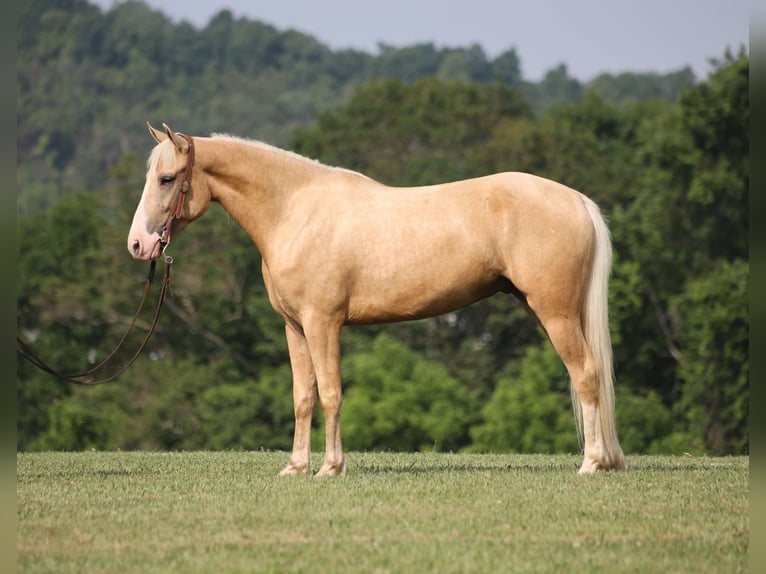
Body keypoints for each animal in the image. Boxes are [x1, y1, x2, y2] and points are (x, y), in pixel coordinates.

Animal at [128, 122, 626, 476]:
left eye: (168, 178)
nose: (138, 244)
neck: (295, 212)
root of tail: (576, 200)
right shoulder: (295, 327)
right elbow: (303, 397)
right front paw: (295, 467)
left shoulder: (323, 322)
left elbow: (330, 393)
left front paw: (330, 468)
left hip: (556, 313)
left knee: (586, 374)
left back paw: (590, 464)